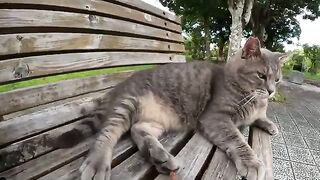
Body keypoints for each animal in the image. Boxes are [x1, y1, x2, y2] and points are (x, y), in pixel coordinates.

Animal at [55, 37, 288, 180]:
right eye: (261, 75)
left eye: (277, 79)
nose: (271, 91)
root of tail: (116, 89)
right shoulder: (216, 118)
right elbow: (237, 139)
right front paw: (252, 162)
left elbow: (260, 117)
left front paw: (269, 124)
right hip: (127, 103)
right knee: (107, 134)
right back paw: (98, 163)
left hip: (157, 121)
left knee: (137, 130)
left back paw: (160, 157)